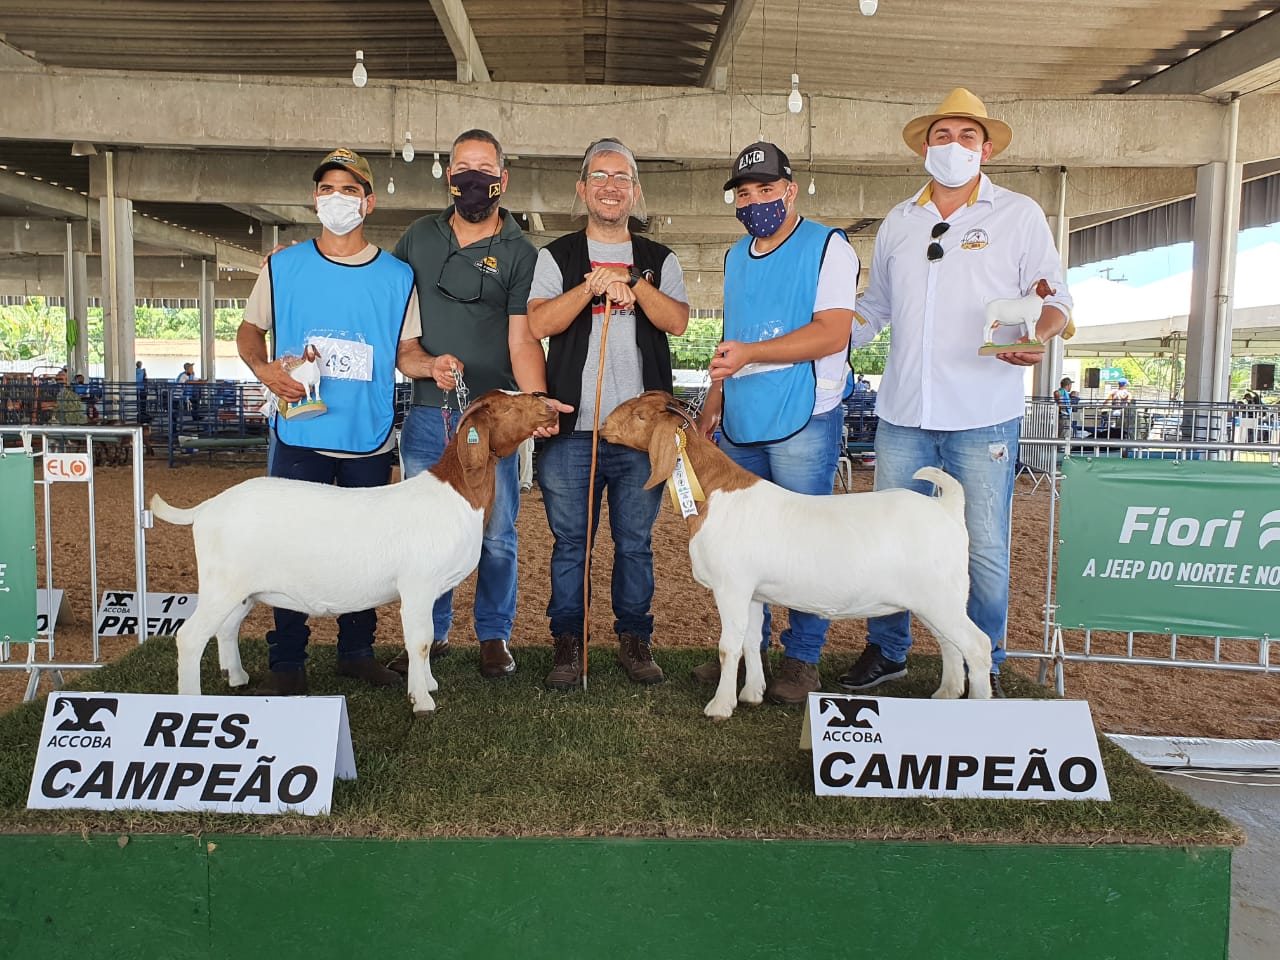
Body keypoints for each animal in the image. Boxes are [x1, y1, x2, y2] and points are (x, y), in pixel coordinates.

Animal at [599, 391, 988, 721]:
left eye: (640, 416)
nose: (603, 427)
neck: (713, 493)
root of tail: (947, 507)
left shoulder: (731, 587)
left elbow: (729, 646)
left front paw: (720, 706)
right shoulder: (754, 593)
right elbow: (752, 640)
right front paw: (752, 694)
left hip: (940, 596)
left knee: (978, 645)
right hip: (934, 600)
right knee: (949, 642)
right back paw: (946, 695)